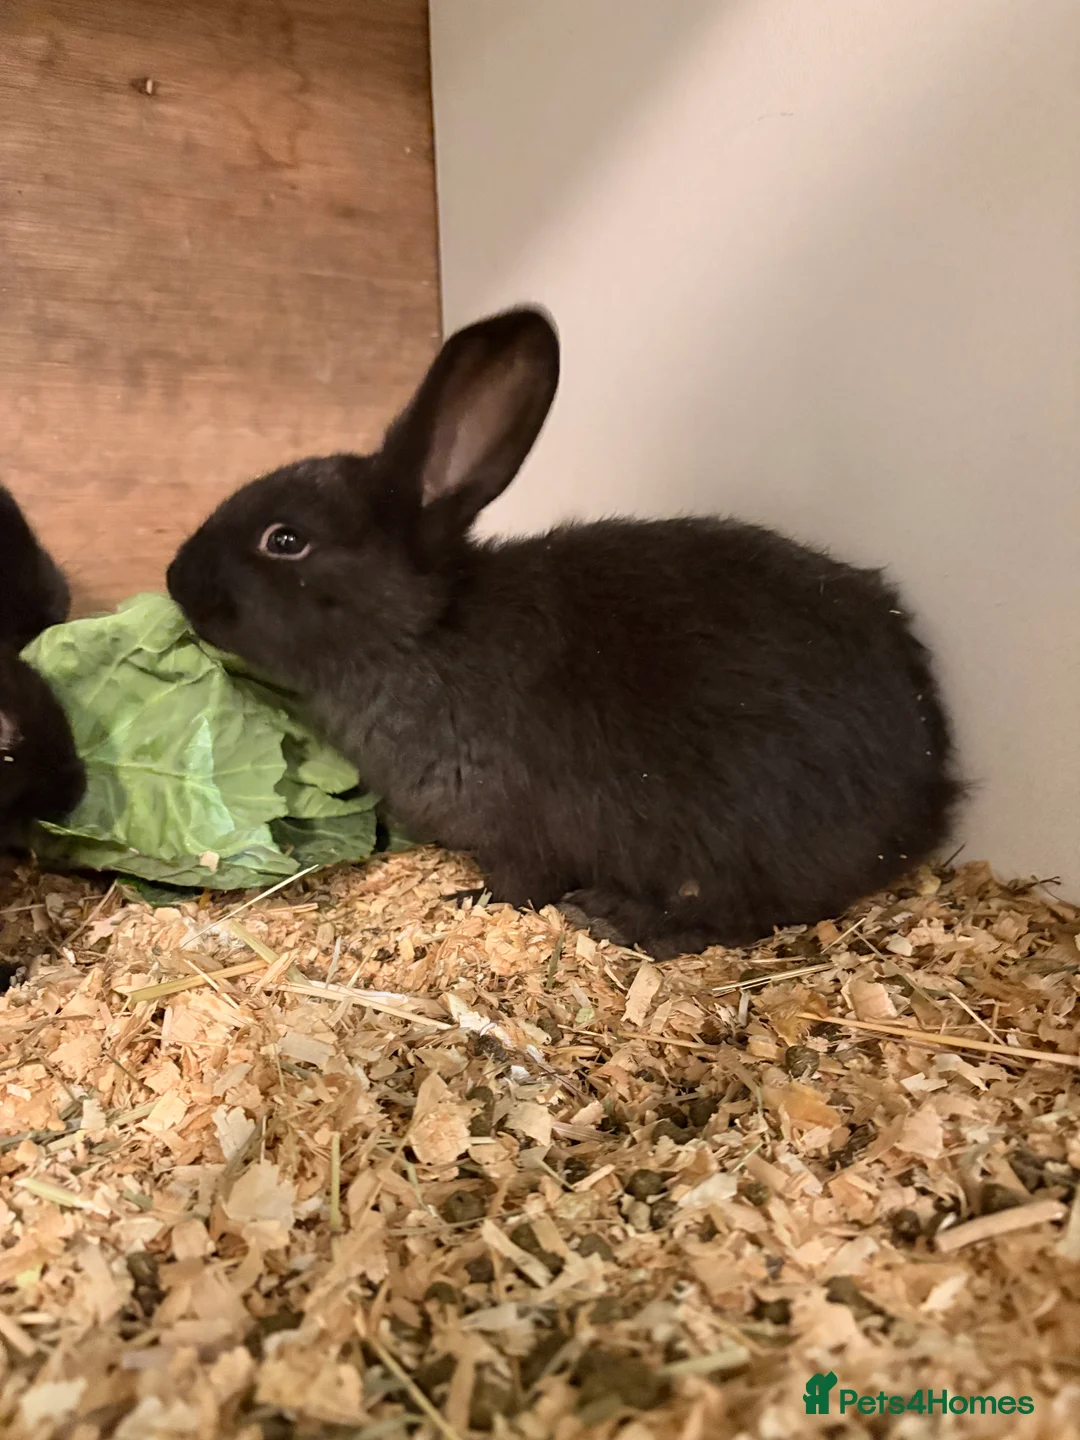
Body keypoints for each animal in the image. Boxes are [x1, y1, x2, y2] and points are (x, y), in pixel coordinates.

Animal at [167, 307, 962, 958]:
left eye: (286, 540)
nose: (176, 581)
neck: (421, 635)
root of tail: (927, 791)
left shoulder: (519, 833)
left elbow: (520, 886)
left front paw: (468, 900)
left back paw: (616, 917)